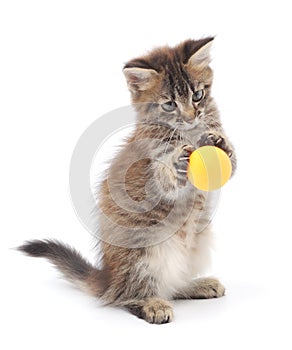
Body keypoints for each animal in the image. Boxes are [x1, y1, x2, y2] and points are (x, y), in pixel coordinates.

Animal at [18, 37, 237, 324]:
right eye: (169, 104)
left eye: (198, 95)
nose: (191, 117)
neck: (187, 134)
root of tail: (108, 279)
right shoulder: (149, 171)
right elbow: (164, 180)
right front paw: (176, 164)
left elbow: (232, 164)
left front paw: (222, 144)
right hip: (143, 252)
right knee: (127, 295)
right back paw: (152, 304)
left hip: (199, 243)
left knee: (172, 286)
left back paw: (196, 285)